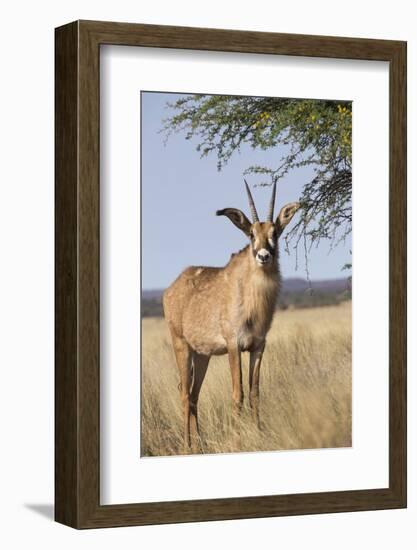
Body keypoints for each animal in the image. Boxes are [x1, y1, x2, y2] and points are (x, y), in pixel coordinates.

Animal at [162, 182, 300, 452]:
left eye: (275, 232)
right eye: (251, 234)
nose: (264, 256)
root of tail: (171, 288)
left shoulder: (258, 346)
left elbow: (255, 392)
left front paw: (259, 434)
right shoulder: (234, 345)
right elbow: (238, 394)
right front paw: (237, 441)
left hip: (202, 355)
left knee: (194, 394)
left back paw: (200, 444)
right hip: (181, 345)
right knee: (184, 393)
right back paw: (187, 446)